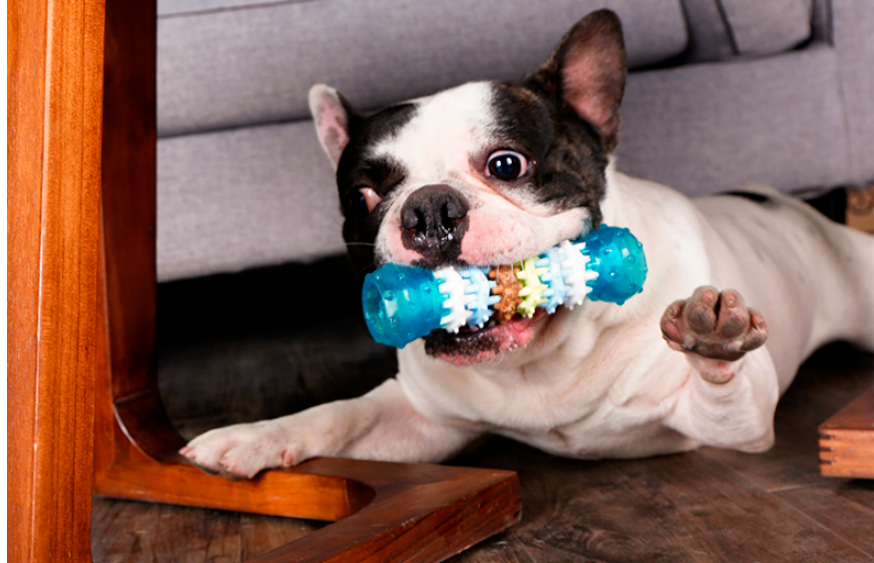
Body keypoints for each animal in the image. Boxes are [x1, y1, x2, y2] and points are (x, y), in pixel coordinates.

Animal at [181, 8, 872, 478]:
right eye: (364, 197)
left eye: (506, 164)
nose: (428, 208)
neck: (540, 363)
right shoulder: (421, 419)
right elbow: (344, 414)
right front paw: (254, 435)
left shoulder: (731, 422)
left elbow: (720, 385)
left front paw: (713, 339)